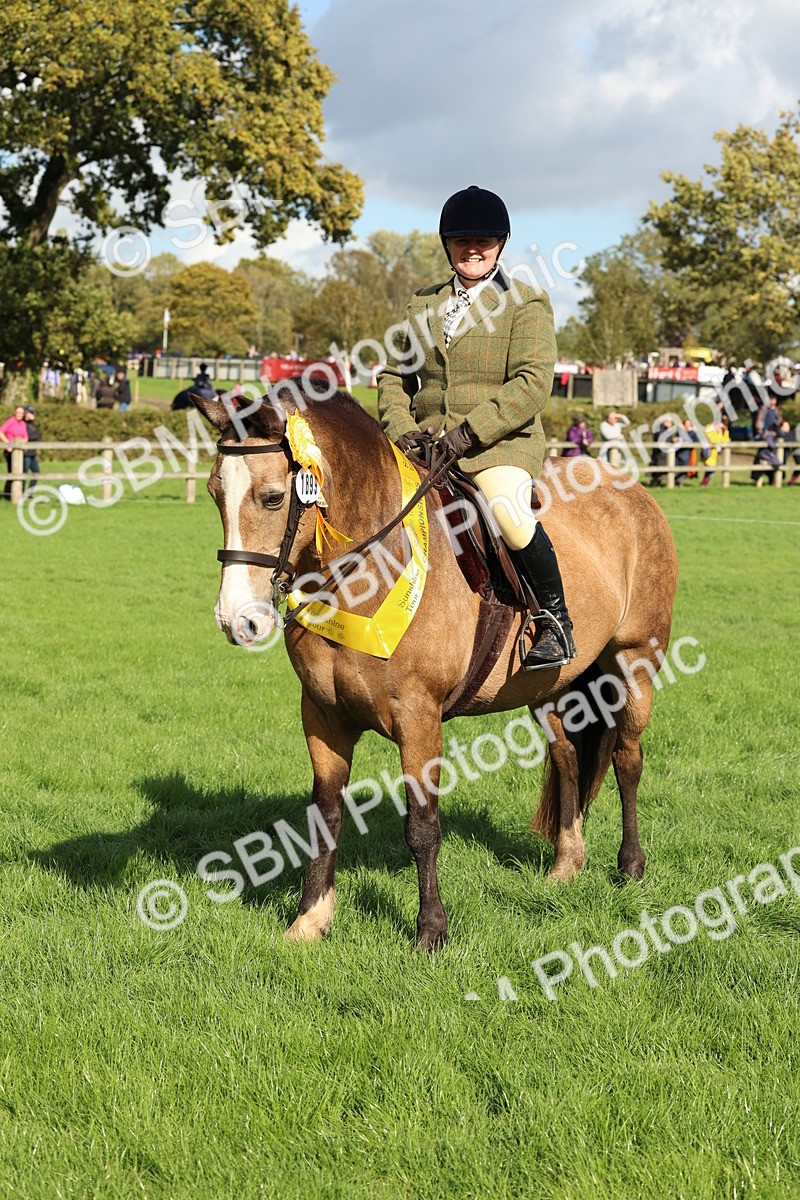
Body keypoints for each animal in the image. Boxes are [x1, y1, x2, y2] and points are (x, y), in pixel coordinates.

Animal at [192, 386, 679, 949]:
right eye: (214, 493)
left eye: (273, 498)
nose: (237, 620)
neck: (364, 572)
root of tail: (631, 488)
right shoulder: (322, 717)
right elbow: (325, 816)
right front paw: (310, 920)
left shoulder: (418, 719)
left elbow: (423, 827)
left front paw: (430, 931)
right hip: (554, 687)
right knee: (566, 758)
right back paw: (566, 866)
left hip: (633, 664)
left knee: (627, 758)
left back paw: (630, 866)